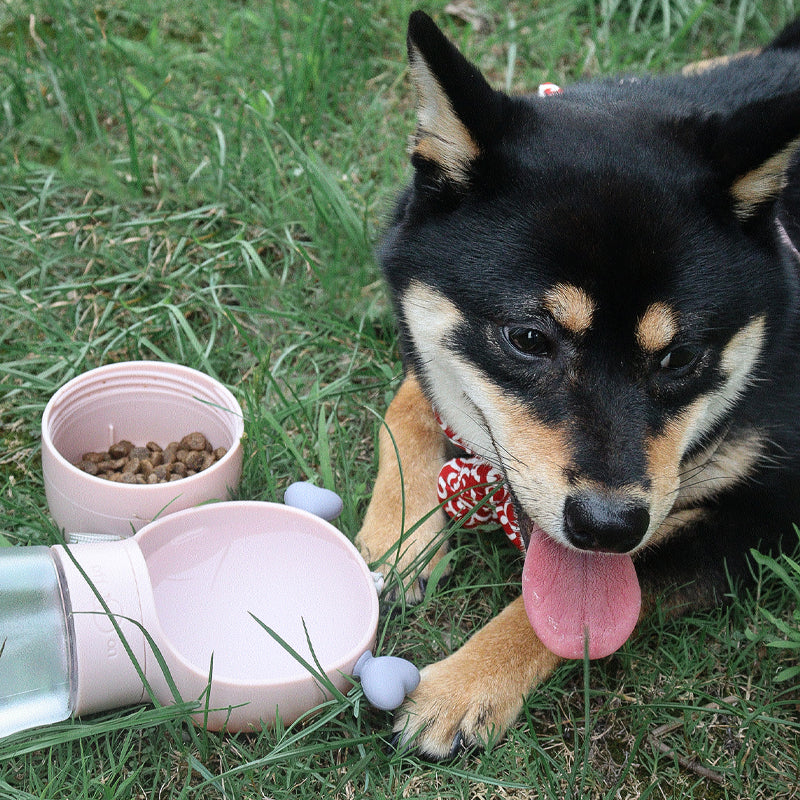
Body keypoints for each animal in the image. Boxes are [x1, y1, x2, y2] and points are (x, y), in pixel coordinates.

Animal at [356, 12, 800, 764]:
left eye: (681, 357)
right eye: (529, 339)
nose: (607, 526)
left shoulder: (771, 516)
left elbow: (588, 607)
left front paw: (462, 688)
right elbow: (411, 397)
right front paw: (401, 532)